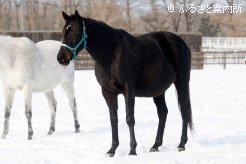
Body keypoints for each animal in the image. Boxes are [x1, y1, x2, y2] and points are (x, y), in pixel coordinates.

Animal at [56, 10, 193, 158]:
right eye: (64, 31)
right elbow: (113, 119)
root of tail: (182, 43)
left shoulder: (128, 90)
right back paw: (155, 146)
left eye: (75, 31)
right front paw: (112, 150)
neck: (111, 54)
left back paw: (181, 144)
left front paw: (132, 151)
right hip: (158, 90)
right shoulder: (108, 92)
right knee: (163, 113)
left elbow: (129, 118)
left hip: (182, 83)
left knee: (184, 111)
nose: (61, 58)